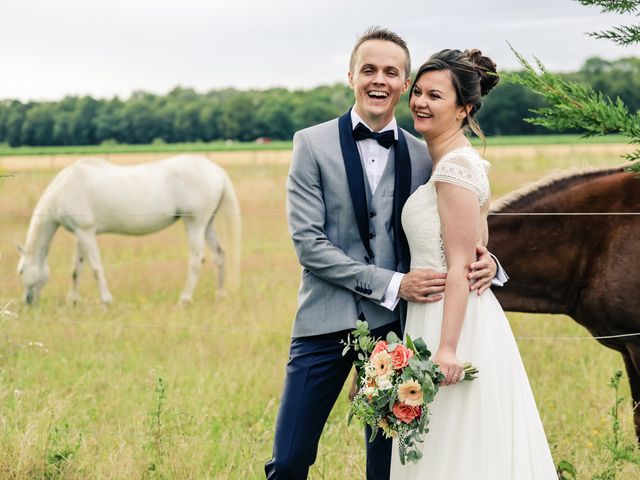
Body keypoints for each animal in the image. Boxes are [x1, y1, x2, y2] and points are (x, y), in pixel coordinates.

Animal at [18, 155, 242, 304]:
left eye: (20, 271)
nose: (28, 302)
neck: (65, 188)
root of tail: (216, 170)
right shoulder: (81, 234)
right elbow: (76, 269)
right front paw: (72, 301)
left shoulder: (86, 233)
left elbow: (96, 267)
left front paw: (106, 301)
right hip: (207, 225)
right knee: (219, 255)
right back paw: (220, 296)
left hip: (194, 224)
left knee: (196, 260)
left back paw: (183, 300)